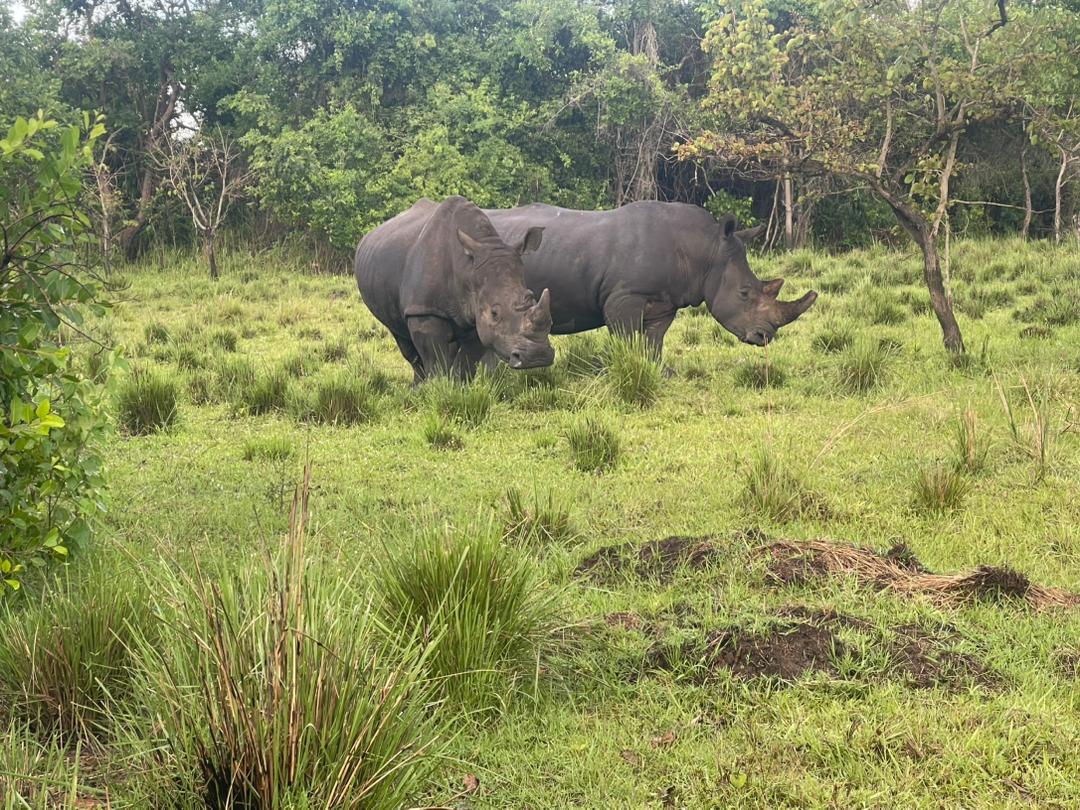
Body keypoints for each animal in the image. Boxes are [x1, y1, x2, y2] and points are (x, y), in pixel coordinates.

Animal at [354, 196, 555, 381]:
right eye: (494, 313)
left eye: (531, 298)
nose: (537, 357)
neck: (467, 268)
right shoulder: (425, 311)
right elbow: (435, 362)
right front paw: (437, 388)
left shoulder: (476, 319)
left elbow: (466, 364)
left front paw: (458, 388)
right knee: (403, 339)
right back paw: (416, 387)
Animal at [484, 201, 818, 358]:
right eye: (745, 293)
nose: (764, 337)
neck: (706, 252)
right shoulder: (623, 297)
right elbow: (628, 340)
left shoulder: (664, 303)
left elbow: (653, 342)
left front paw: (655, 372)